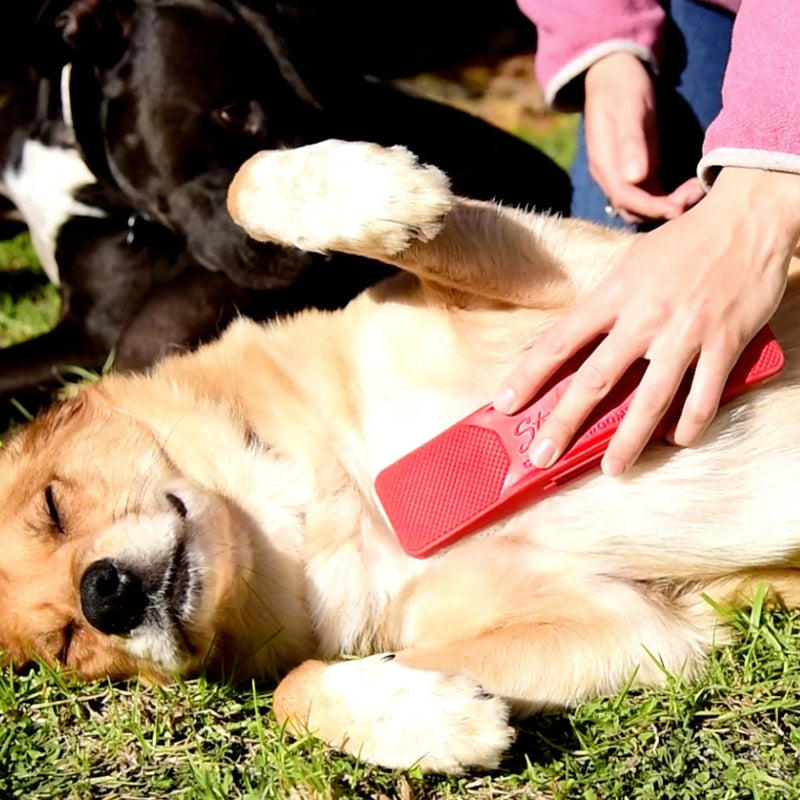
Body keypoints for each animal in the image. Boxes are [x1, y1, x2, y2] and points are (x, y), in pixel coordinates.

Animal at [1, 141, 800, 772]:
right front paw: (432, 719)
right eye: (68, 645)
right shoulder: (635, 629)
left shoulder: (605, 279)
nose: (102, 597)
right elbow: (290, 692)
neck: (343, 495)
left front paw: (382, 193)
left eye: (53, 504)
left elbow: (243, 183)